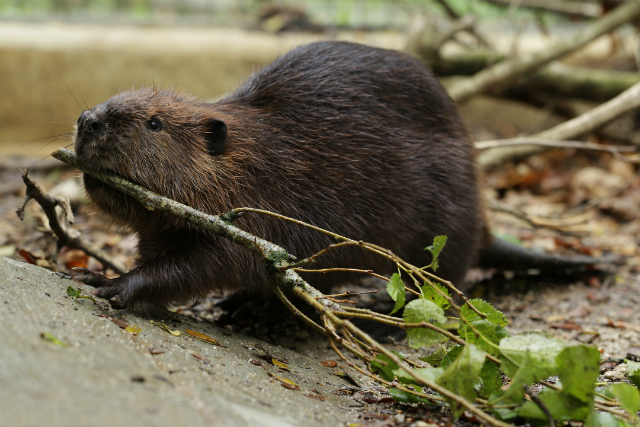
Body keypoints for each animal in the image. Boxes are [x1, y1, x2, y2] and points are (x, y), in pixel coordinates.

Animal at [73, 41, 600, 308]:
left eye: (154, 123)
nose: (87, 120)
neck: (254, 157)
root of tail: (484, 232)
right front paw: (102, 272)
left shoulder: (257, 212)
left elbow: (209, 263)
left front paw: (115, 286)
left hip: (439, 231)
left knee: (437, 288)